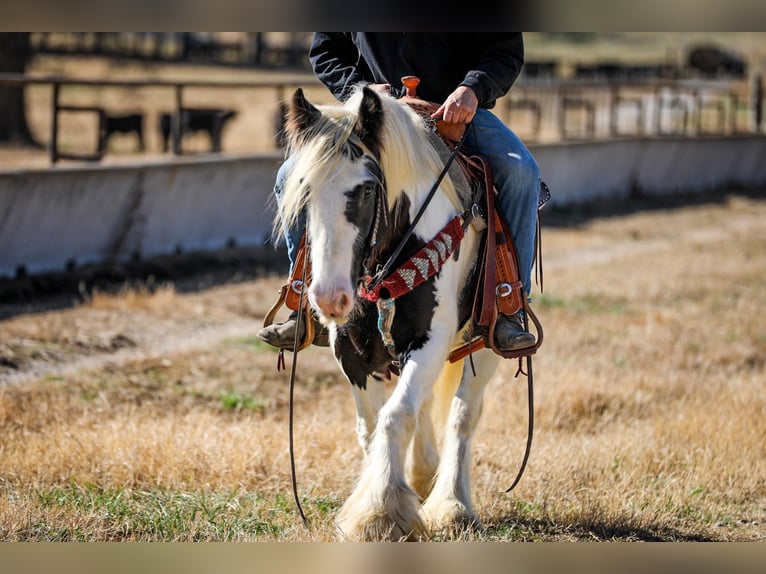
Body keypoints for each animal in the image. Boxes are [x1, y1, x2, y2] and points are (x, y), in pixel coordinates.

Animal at [278, 86, 516, 544]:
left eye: (367, 190)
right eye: (303, 189)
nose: (329, 297)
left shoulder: (432, 340)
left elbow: (396, 416)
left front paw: (379, 516)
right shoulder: (350, 351)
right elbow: (372, 427)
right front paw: (387, 499)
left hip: (486, 343)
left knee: (462, 415)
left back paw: (454, 506)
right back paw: (423, 478)